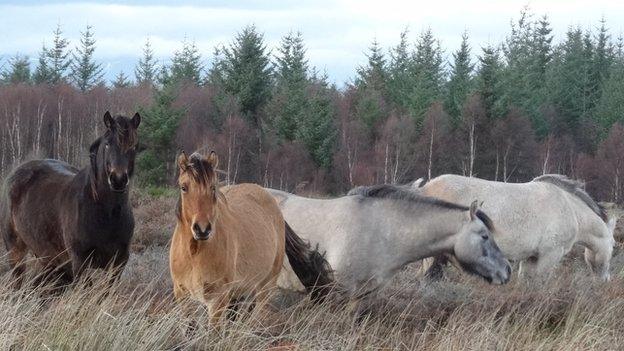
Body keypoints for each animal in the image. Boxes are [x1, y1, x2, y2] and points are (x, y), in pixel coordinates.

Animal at [0, 112, 141, 286]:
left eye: (134, 146)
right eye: (108, 144)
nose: (118, 180)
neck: (106, 213)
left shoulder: (119, 262)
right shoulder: (80, 261)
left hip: (47, 256)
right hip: (15, 250)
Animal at [171, 152, 334, 324]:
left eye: (213, 187)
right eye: (183, 187)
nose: (202, 229)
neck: (194, 254)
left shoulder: (217, 300)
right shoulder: (182, 297)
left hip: (264, 287)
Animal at [414, 175, 616, 282]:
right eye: (614, 245)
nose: (606, 280)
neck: (570, 209)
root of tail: (425, 188)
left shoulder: (530, 258)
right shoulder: (549, 255)